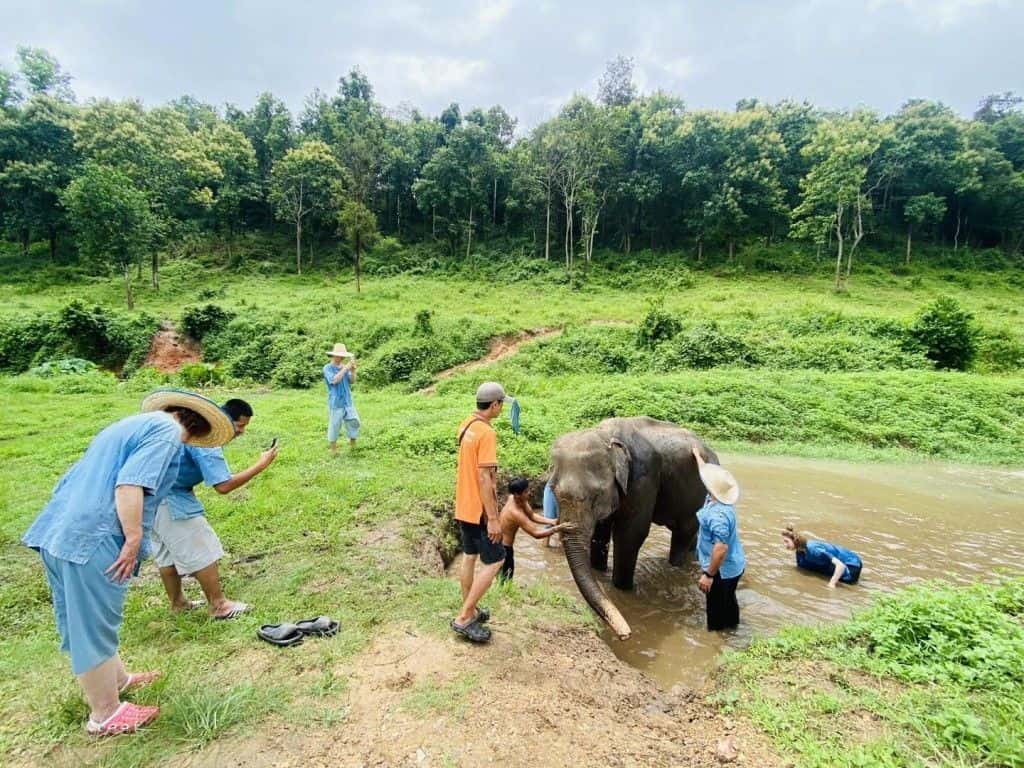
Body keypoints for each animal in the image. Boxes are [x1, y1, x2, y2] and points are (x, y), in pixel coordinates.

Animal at [548, 416, 718, 640]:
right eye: (552, 491)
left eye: (596, 495)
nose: (626, 635)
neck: (605, 435)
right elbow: (601, 533)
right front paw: (600, 572)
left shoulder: (643, 478)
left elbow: (629, 535)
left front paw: (623, 589)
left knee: (684, 532)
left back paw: (676, 567)